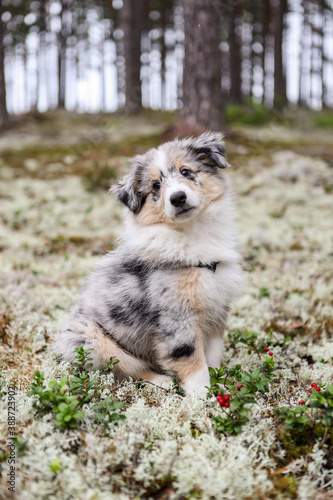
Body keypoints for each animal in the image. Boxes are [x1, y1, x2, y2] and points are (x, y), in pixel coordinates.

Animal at [54, 132, 241, 394]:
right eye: (156, 186)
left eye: (186, 171)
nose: (178, 198)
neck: (192, 235)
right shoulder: (177, 318)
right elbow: (193, 361)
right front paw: (203, 397)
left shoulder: (216, 311)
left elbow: (212, 355)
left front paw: (219, 384)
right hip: (95, 343)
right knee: (130, 370)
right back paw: (163, 381)